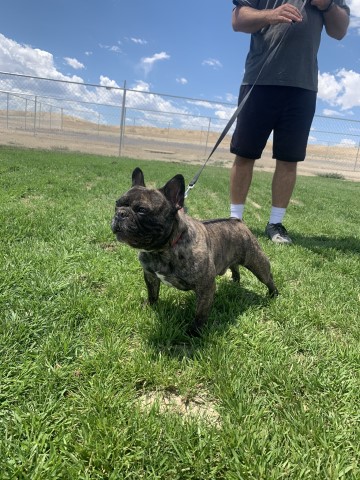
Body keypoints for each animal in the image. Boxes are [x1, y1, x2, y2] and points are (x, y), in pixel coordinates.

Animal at [110, 171, 278, 336]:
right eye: (117, 204)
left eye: (142, 210)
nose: (120, 213)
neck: (162, 250)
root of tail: (237, 221)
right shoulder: (150, 275)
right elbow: (152, 293)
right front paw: (150, 305)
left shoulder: (205, 288)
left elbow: (200, 313)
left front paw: (195, 332)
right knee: (235, 267)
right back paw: (235, 281)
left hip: (257, 262)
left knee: (268, 278)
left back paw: (273, 295)